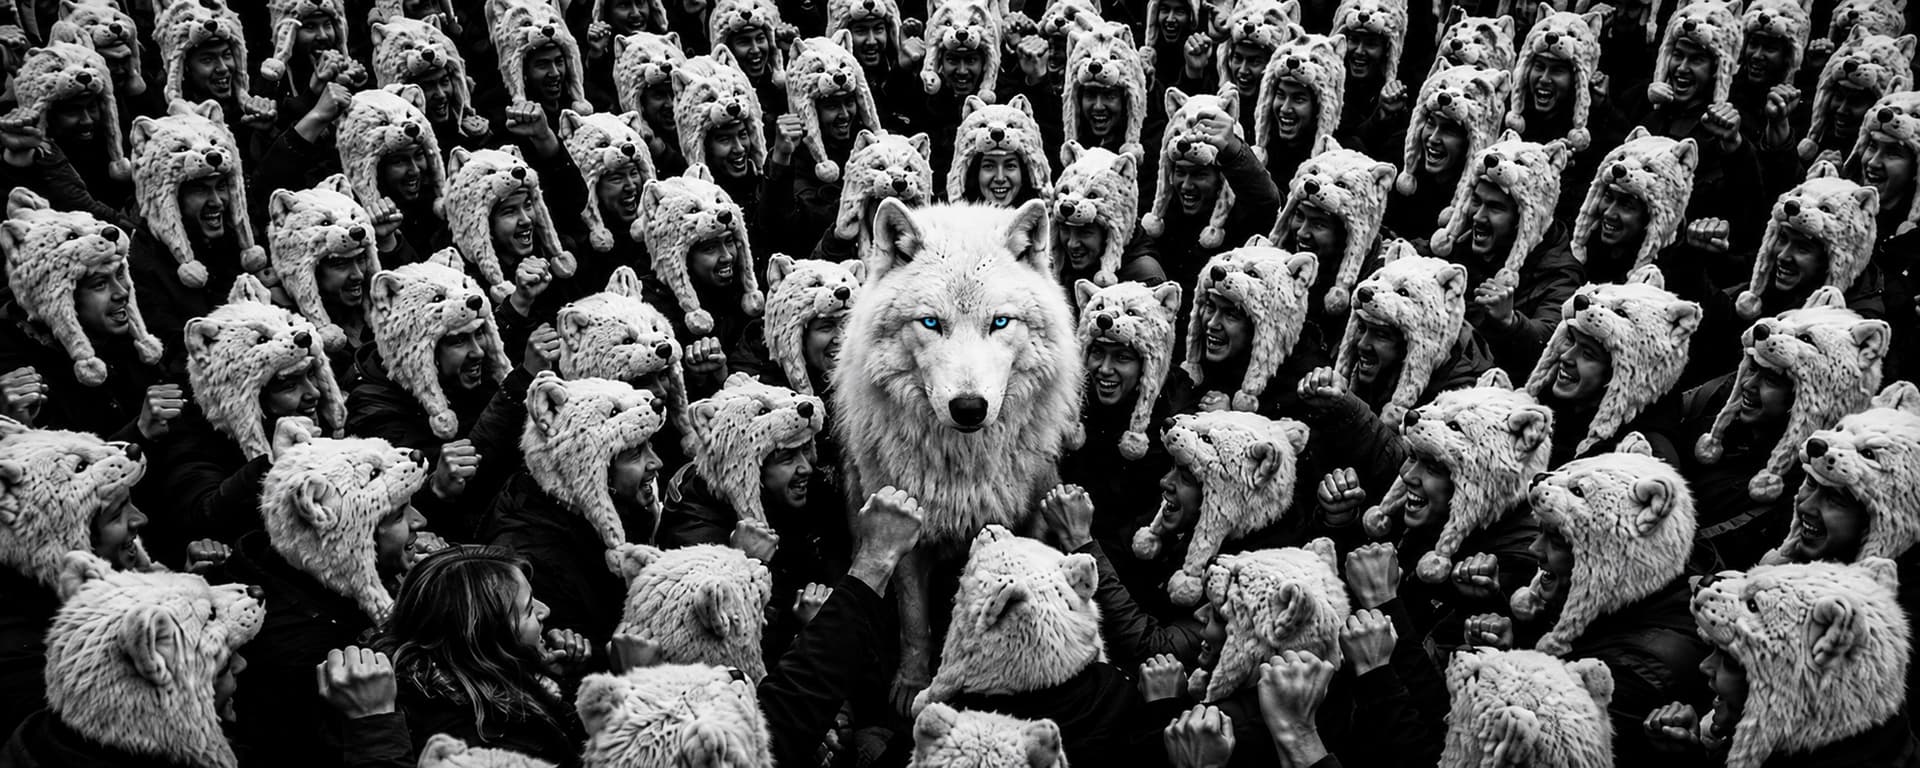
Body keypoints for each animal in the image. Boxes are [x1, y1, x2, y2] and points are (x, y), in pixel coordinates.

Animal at [832, 198, 1082, 710]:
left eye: (1000, 322)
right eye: (931, 322)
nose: (969, 408)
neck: (964, 471)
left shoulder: (1027, 518)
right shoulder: (907, 531)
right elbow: (913, 621)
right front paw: (911, 684)